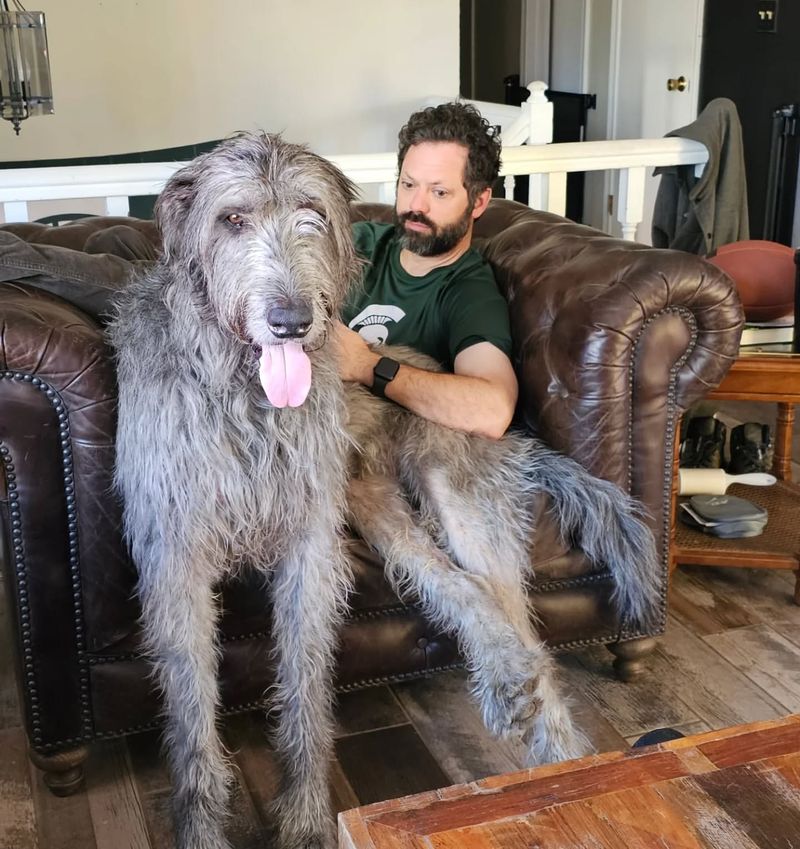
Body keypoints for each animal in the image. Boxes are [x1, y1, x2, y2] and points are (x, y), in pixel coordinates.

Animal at [108, 131, 656, 848]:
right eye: (232, 218)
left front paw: (307, 816)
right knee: (461, 587)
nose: (291, 320)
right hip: (375, 505)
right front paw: (202, 826)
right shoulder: (176, 551)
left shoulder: (311, 543)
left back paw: (559, 756)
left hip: (456, 489)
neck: (244, 394)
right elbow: (191, 703)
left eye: (312, 213)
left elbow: (307, 679)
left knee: (519, 621)